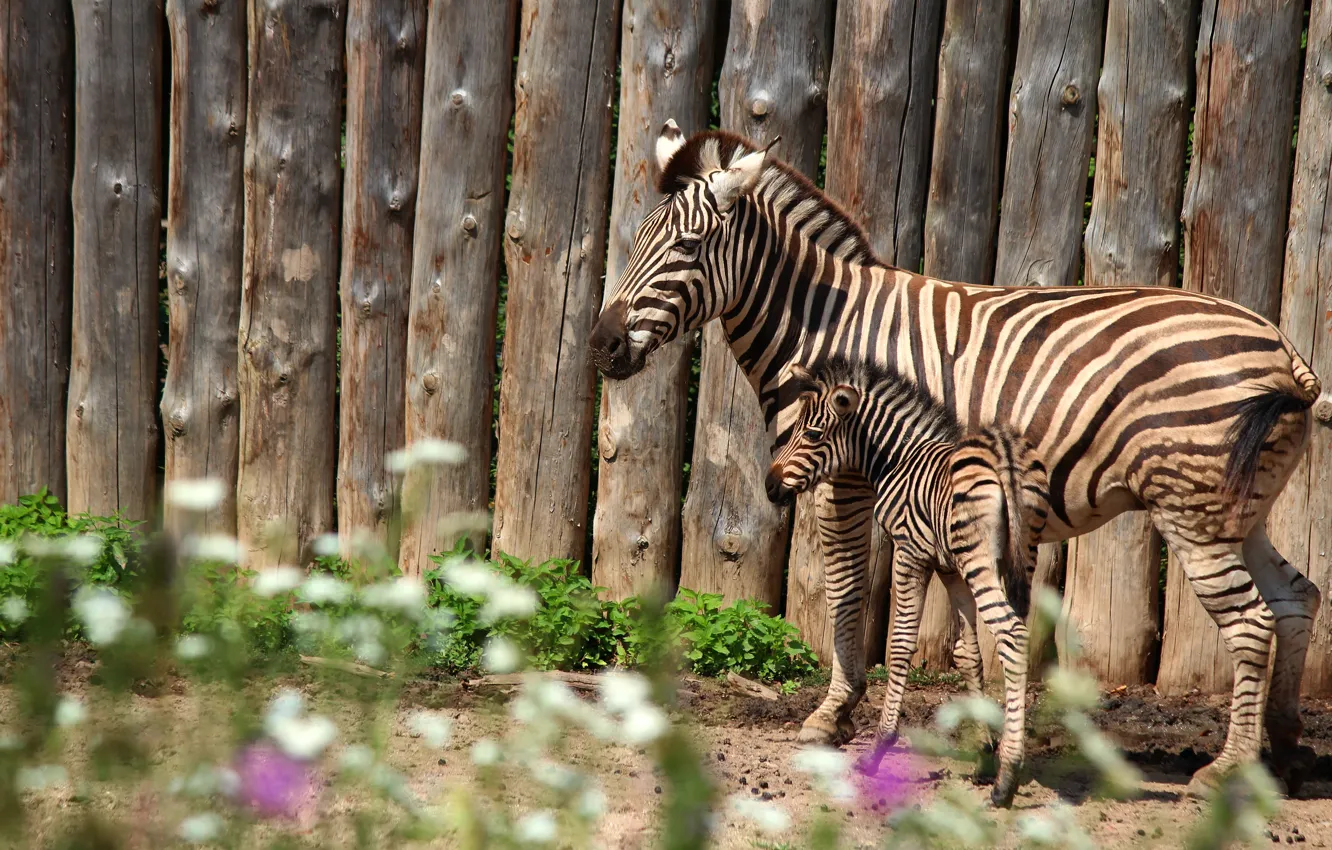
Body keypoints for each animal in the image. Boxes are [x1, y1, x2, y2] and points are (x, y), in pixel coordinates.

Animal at [765, 356, 1050, 807]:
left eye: (811, 434)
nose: (770, 485)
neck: (900, 458)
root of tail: (1002, 450)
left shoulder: (910, 551)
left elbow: (900, 644)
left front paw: (880, 746)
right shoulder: (951, 568)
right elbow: (969, 654)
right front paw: (983, 752)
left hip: (981, 562)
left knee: (1012, 635)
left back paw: (1008, 779)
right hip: (1020, 554)